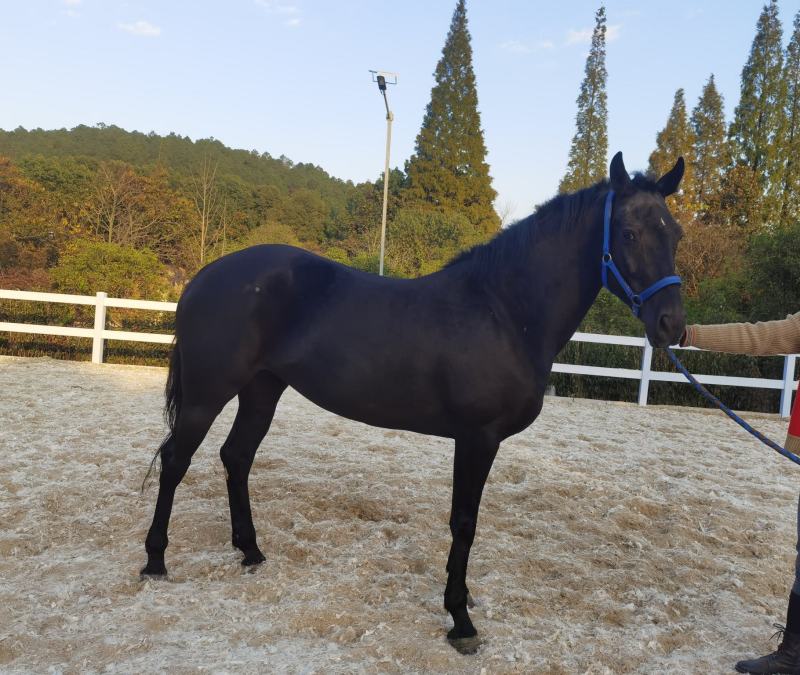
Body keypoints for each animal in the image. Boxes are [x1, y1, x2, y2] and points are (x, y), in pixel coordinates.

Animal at [141, 152, 686, 653]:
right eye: (629, 233)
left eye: (675, 234)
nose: (672, 326)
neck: (504, 311)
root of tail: (203, 277)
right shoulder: (477, 438)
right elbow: (464, 522)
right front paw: (460, 620)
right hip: (207, 395)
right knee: (175, 460)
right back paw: (155, 560)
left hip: (261, 390)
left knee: (236, 457)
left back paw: (251, 552)